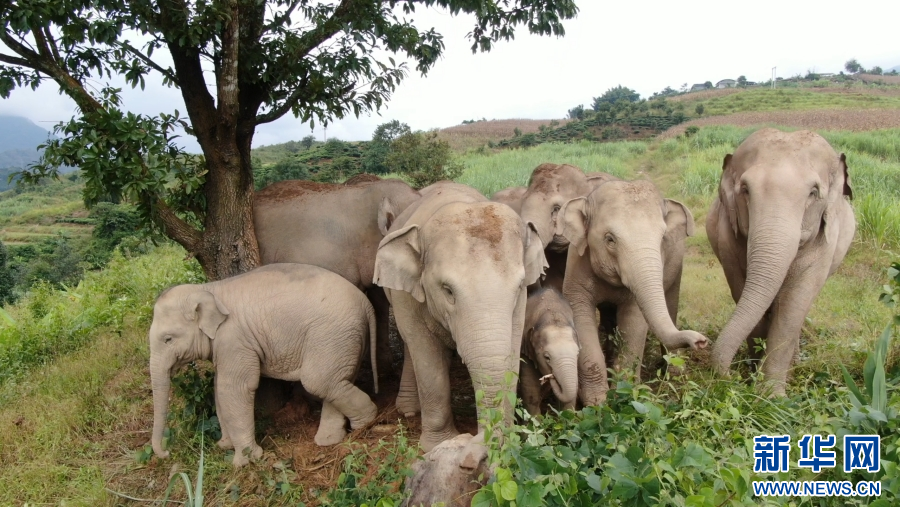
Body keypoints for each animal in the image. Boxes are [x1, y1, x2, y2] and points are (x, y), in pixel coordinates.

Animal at [147, 266, 376, 468]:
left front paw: (244, 461)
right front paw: (224, 445)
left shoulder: (235, 339)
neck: (208, 289)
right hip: (345, 339)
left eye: (168, 339)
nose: (166, 453)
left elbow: (234, 388)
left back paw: (364, 424)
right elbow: (219, 387)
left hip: (332, 334)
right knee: (338, 380)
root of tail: (366, 304)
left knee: (318, 381)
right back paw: (329, 439)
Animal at [374, 183, 548, 452]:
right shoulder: (407, 298)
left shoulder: (520, 305)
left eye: (519, 286)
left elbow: (511, 350)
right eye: (447, 290)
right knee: (410, 344)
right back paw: (409, 410)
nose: (479, 441)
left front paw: (509, 442)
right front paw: (438, 445)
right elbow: (425, 355)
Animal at [556, 181, 712, 406]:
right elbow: (580, 315)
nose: (701, 342)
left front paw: (625, 394)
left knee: (671, 303)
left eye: (662, 238)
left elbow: (634, 322)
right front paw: (597, 403)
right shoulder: (577, 263)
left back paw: (673, 372)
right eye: (610, 239)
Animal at [708, 128, 856, 396]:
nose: (731, 377)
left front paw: (772, 396)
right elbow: (740, 288)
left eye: (813, 192)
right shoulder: (727, 238)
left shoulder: (824, 242)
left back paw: (794, 365)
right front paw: (754, 378)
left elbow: (794, 304)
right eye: (745, 189)